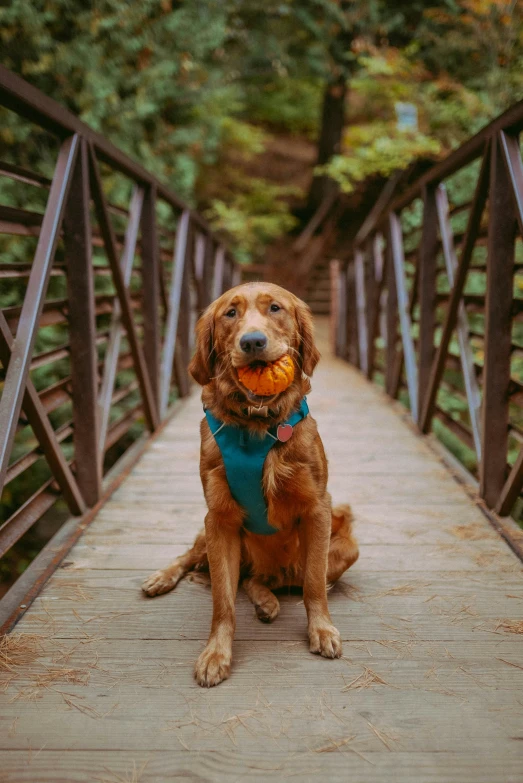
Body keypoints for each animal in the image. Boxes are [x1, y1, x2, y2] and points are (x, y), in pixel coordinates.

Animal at [141, 282, 358, 688]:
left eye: (275, 308)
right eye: (230, 313)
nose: (253, 341)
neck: (259, 424)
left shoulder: (318, 509)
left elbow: (313, 586)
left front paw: (321, 630)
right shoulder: (219, 519)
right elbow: (222, 602)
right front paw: (216, 654)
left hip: (346, 545)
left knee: (266, 580)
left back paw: (267, 600)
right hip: (208, 536)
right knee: (197, 560)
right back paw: (163, 577)